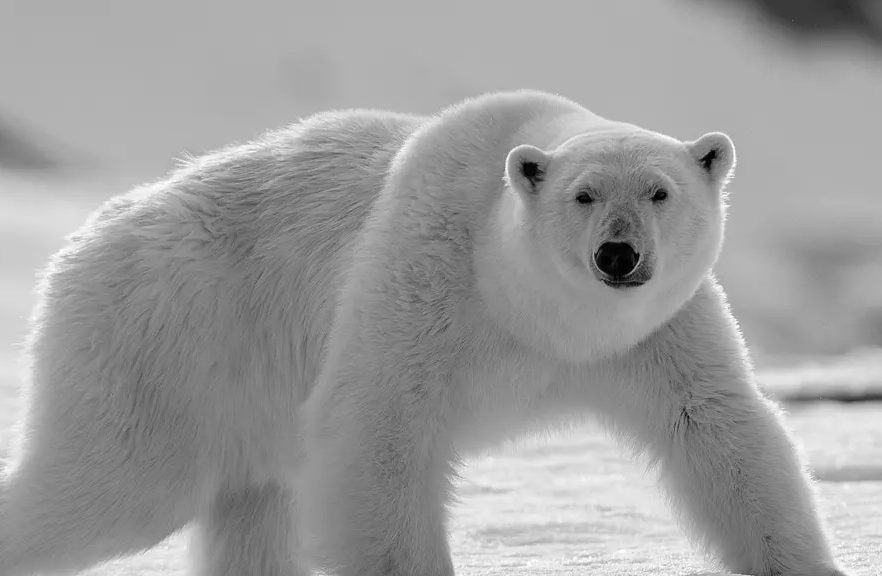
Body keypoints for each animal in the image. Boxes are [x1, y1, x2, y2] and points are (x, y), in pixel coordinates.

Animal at [0, 90, 844, 576]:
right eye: (584, 194)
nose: (618, 254)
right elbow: (376, 432)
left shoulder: (655, 335)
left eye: (660, 191)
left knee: (250, 512)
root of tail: (88, 238)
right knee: (117, 484)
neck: (539, 317)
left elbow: (721, 434)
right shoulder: (425, 280)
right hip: (169, 340)